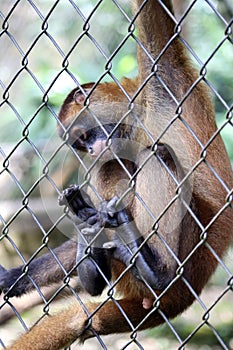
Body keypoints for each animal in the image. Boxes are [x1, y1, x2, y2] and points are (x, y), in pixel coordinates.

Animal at [0, 0, 233, 350]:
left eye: (84, 135)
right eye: (80, 143)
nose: (92, 149)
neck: (138, 117)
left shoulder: (164, 79)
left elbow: (155, 22)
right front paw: (18, 277)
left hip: (189, 247)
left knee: (157, 155)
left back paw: (157, 270)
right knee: (112, 166)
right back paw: (90, 261)